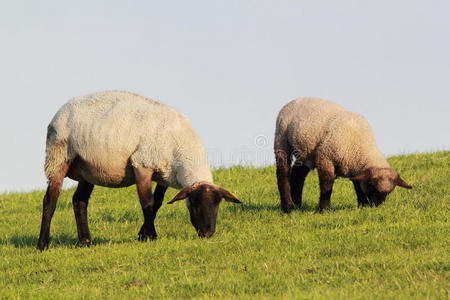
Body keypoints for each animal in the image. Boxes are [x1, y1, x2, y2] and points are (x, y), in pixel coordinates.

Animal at [37, 91, 243, 251]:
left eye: (218, 205)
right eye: (194, 204)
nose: (208, 233)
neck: (182, 147)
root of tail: (59, 112)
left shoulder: (163, 174)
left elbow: (157, 203)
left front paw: (143, 234)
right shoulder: (142, 163)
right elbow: (148, 203)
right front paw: (150, 235)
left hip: (88, 167)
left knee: (79, 200)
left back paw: (85, 241)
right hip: (58, 155)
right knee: (50, 200)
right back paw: (43, 244)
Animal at [272, 97, 414, 212]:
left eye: (389, 193)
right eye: (372, 186)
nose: (376, 206)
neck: (361, 145)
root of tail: (294, 100)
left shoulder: (356, 168)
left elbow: (358, 185)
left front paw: (362, 205)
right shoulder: (325, 158)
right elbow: (327, 186)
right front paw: (324, 209)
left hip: (307, 152)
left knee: (298, 174)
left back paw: (297, 205)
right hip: (281, 139)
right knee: (282, 174)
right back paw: (288, 207)